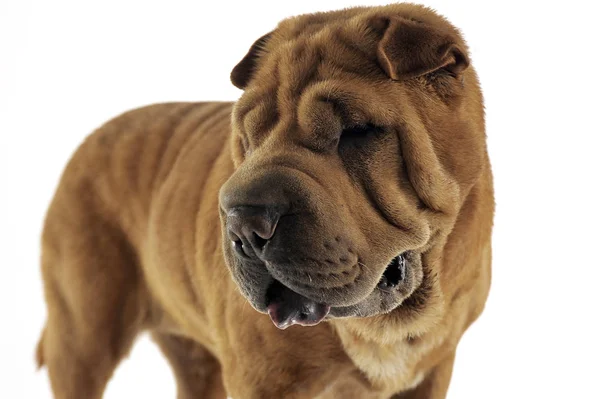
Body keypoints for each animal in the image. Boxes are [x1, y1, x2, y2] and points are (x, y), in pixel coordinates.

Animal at [38, 3, 496, 399]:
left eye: (357, 130)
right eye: (248, 135)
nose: (244, 220)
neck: (386, 325)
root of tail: (86, 143)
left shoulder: (434, 372)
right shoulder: (264, 378)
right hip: (84, 336)